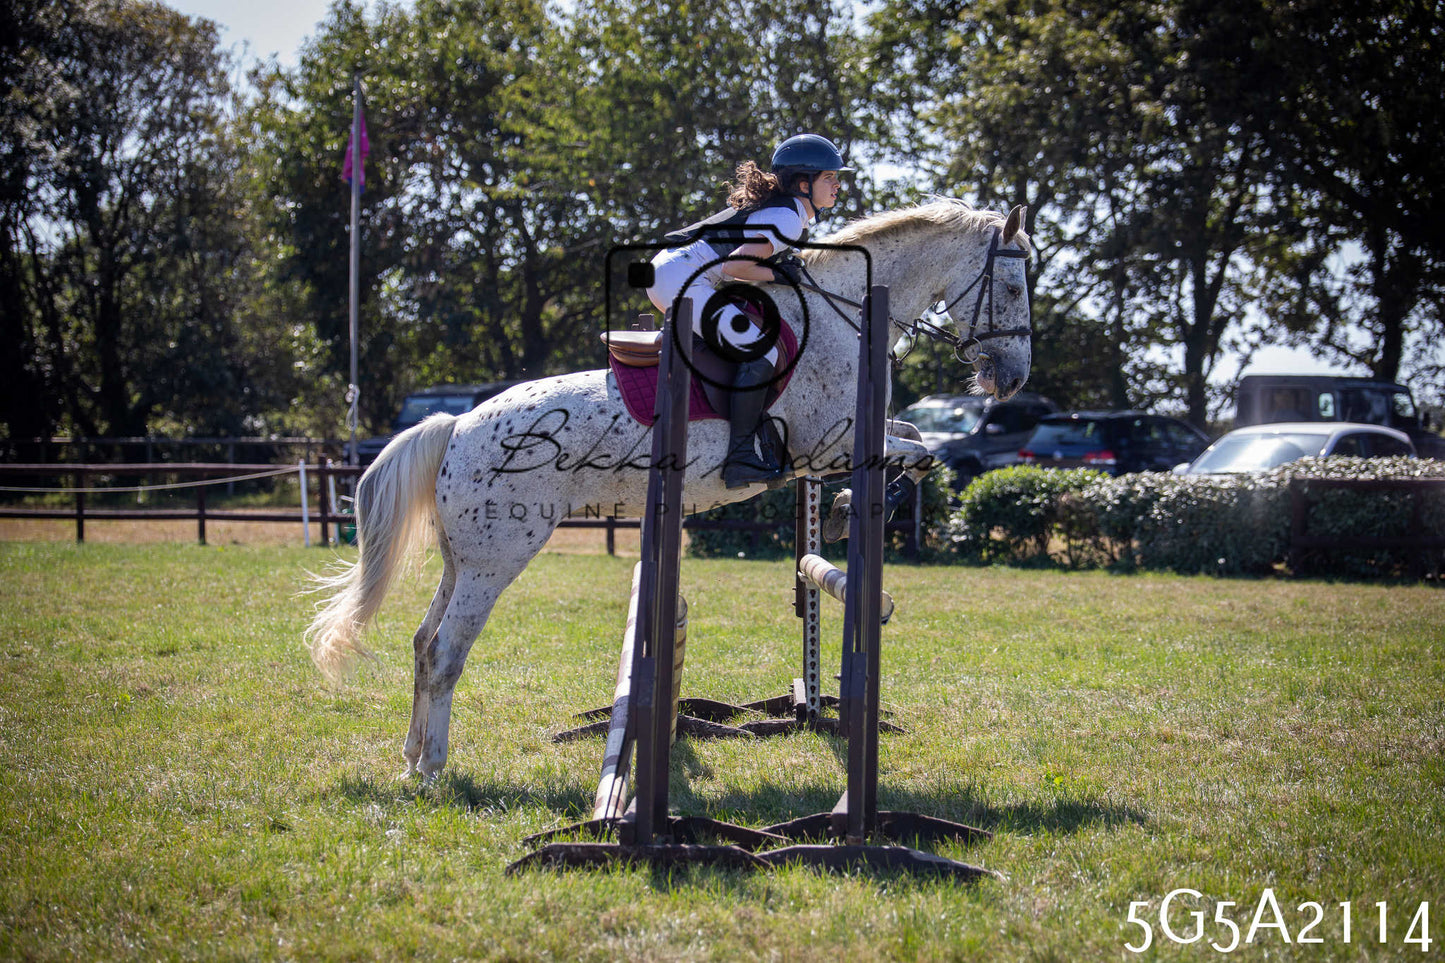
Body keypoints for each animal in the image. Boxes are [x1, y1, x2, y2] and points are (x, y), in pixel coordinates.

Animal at [307, 198, 1032, 780]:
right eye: (1011, 285)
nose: (1014, 379)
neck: (843, 316)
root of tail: (456, 424)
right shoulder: (825, 444)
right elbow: (920, 449)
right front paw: (852, 505)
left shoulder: (852, 436)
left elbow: (912, 436)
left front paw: (849, 509)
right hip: (498, 557)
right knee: (446, 653)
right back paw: (432, 767)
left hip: (464, 558)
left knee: (422, 642)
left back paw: (409, 757)